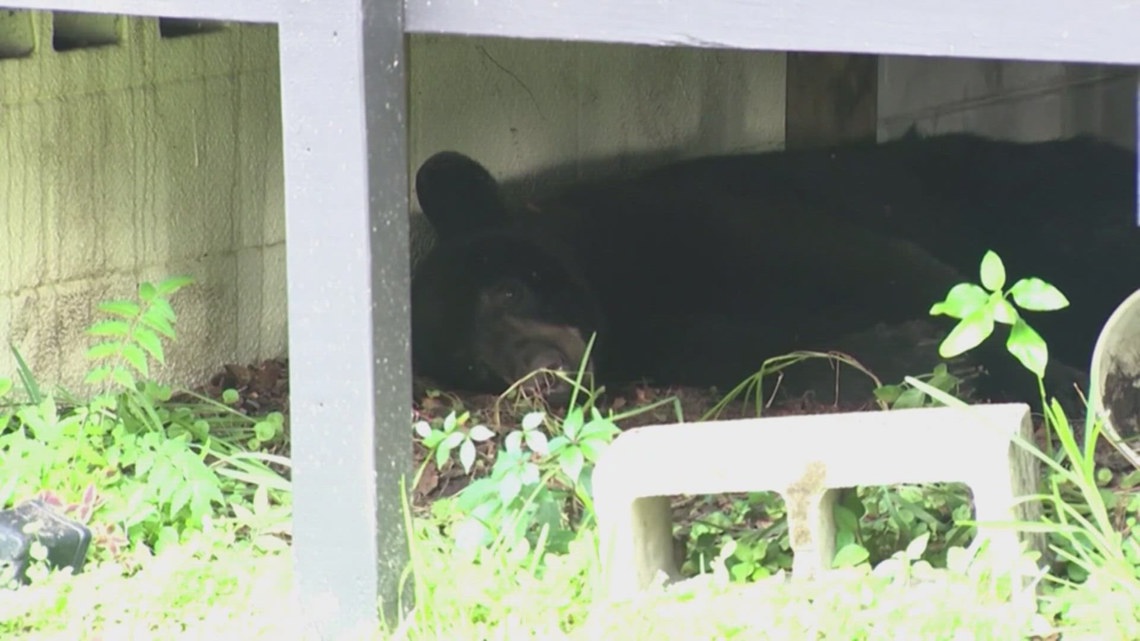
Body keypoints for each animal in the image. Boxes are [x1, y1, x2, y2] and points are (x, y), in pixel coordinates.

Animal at [408, 134, 1129, 412]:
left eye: (507, 289)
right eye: (472, 365)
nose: (541, 374)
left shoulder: (706, 221)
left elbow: (915, 277)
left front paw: (1060, 382)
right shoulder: (668, 337)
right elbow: (761, 357)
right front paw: (904, 353)